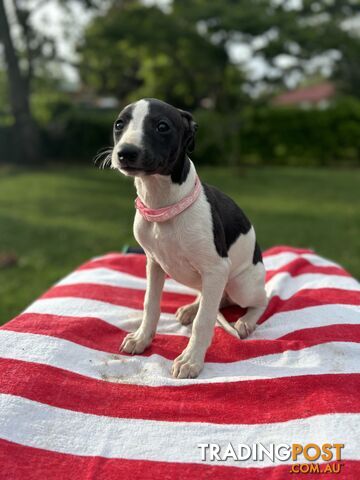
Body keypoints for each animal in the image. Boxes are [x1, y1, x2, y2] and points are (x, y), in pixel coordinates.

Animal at [112, 98, 268, 378]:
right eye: (120, 124)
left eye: (162, 126)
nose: (125, 152)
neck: (163, 206)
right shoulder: (153, 263)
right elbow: (150, 304)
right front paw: (142, 338)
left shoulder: (216, 268)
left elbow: (204, 321)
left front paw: (191, 360)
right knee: (215, 298)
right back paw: (191, 307)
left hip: (240, 284)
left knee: (260, 299)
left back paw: (246, 321)